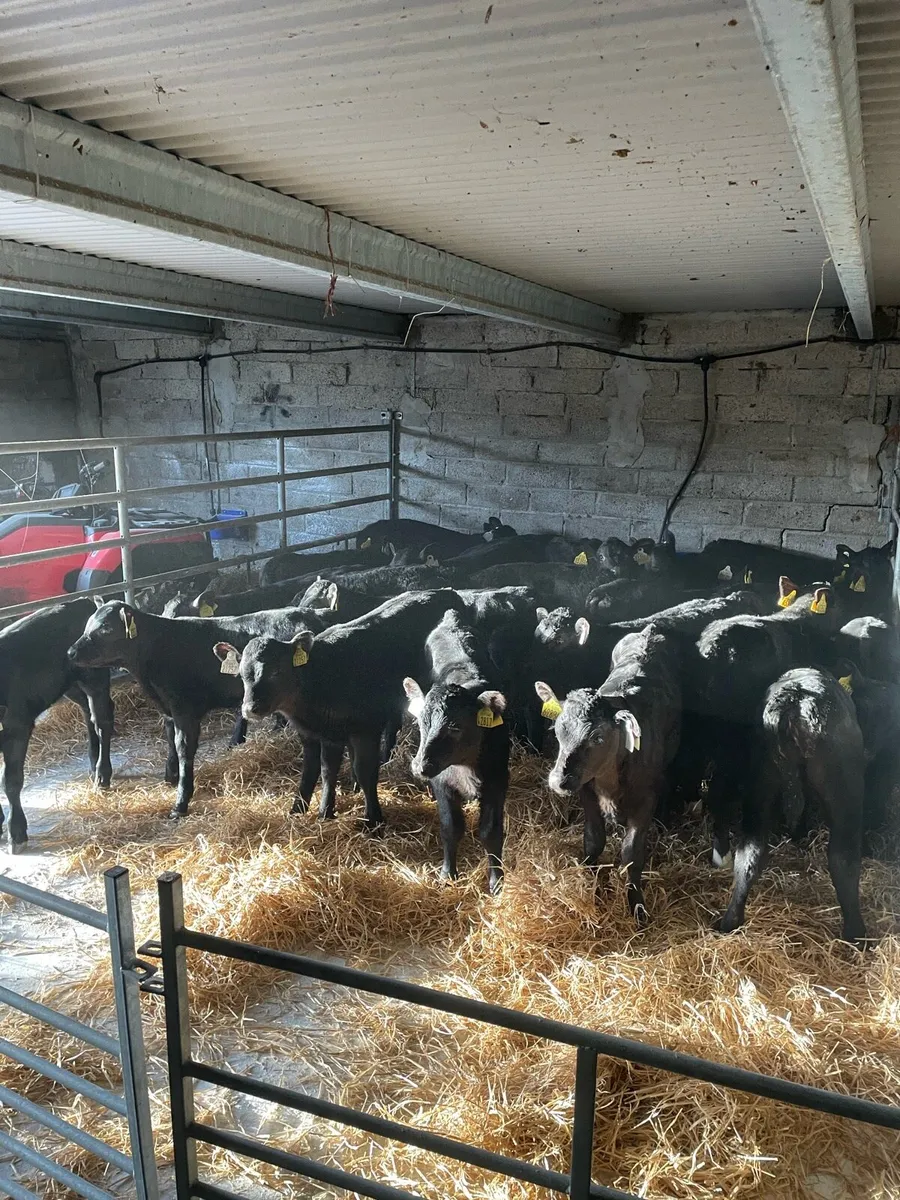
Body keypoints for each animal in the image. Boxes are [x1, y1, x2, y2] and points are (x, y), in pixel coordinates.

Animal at [0, 600, 114, 851]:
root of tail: (84, 602)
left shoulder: (17, 726)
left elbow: (11, 781)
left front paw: (16, 832)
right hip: (69, 685)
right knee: (88, 713)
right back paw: (93, 762)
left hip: (95, 678)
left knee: (102, 720)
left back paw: (102, 774)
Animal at [402, 609, 508, 893]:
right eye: (420, 722)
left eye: (455, 727)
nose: (419, 766)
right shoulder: (441, 780)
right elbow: (451, 827)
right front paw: (448, 874)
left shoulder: (498, 778)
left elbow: (491, 831)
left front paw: (497, 882)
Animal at [536, 625, 682, 922]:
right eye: (558, 729)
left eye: (598, 737)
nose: (559, 780)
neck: (609, 783)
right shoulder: (586, 791)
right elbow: (593, 842)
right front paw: (593, 890)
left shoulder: (645, 799)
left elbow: (632, 854)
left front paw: (637, 908)